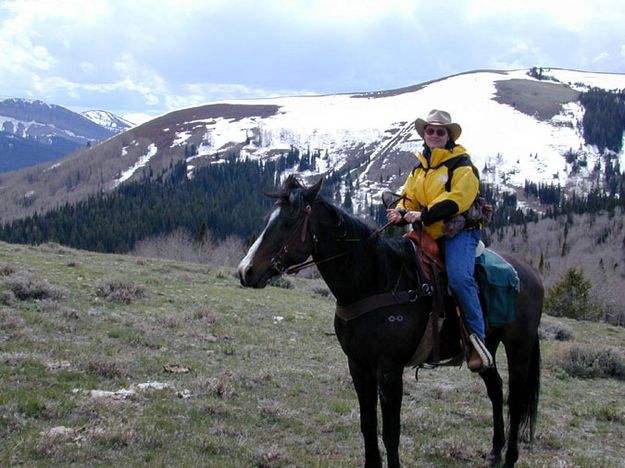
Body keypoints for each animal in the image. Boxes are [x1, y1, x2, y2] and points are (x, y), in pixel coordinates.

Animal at [236, 176, 540, 468]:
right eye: (268, 220)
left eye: (288, 222)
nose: (245, 271)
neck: (376, 281)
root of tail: (531, 274)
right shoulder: (358, 366)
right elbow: (368, 424)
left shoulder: (389, 369)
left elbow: (391, 432)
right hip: (486, 348)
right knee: (496, 389)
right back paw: (495, 452)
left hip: (519, 347)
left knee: (516, 399)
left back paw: (510, 457)